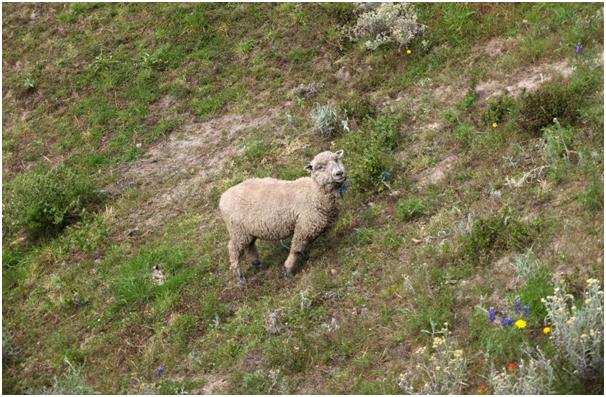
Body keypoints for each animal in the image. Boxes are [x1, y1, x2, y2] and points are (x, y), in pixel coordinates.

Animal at [221, 148, 350, 282]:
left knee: (249, 246)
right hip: (237, 230)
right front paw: (288, 269)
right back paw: (239, 276)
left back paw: (257, 264)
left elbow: (304, 246)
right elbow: (296, 248)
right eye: (320, 167)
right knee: (233, 249)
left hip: (247, 231)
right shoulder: (304, 226)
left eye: (336, 159)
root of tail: (223, 197)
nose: (339, 173)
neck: (314, 193)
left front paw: (305, 256)